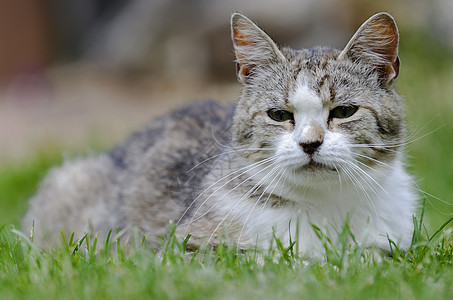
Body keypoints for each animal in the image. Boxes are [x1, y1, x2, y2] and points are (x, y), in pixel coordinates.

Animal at [22, 12, 416, 255]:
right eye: (279, 115)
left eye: (343, 112)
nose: (310, 143)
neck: (328, 207)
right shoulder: (183, 248)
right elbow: (274, 259)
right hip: (71, 180)